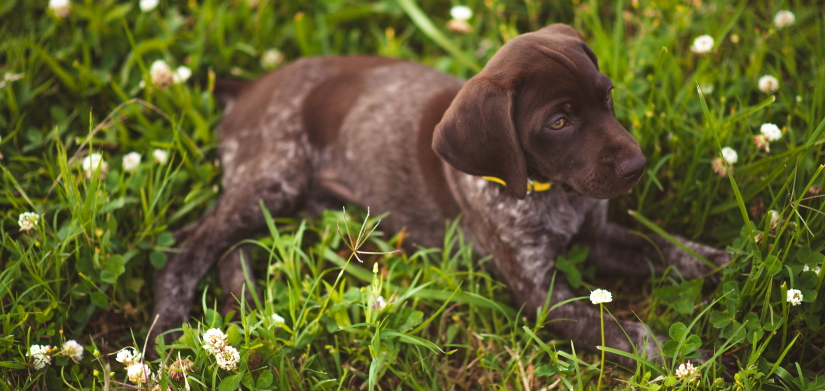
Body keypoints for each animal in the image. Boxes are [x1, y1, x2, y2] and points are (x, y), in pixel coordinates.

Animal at [153, 23, 728, 368]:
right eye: (559, 122)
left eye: (607, 96)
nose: (636, 166)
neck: (550, 192)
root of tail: (249, 88)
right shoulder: (541, 297)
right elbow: (617, 329)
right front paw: (683, 356)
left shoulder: (601, 237)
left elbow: (671, 251)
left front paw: (728, 262)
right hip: (274, 176)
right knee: (189, 247)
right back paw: (168, 327)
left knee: (229, 247)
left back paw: (254, 309)